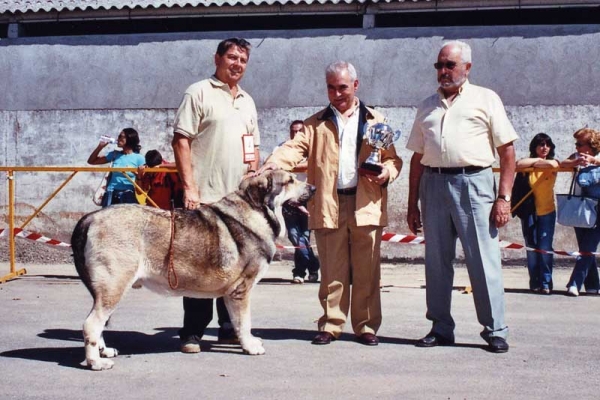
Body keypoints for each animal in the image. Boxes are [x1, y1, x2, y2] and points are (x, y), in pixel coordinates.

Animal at [71, 170, 314, 370]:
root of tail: (90, 218)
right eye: (290, 181)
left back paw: (104, 351)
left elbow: (236, 322)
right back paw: (96, 362)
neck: (258, 212)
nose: (313, 188)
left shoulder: (231, 294)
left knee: (99, 324)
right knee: (91, 324)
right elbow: (245, 323)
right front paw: (251, 347)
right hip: (114, 287)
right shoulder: (241, 290)